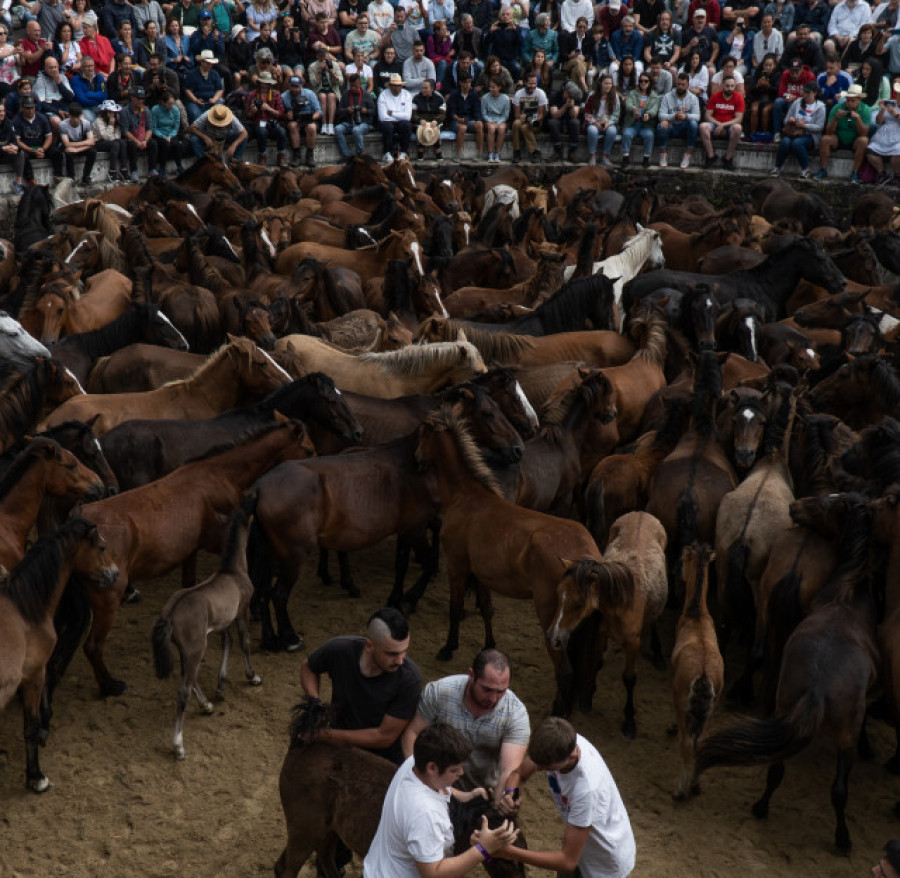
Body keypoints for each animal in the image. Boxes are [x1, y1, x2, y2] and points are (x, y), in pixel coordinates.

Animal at [0, 520, 118, 796]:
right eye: (101, 546)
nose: (115, 574)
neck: (25, 609)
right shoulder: (34, 674)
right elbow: (31, 726)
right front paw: (36, 777)